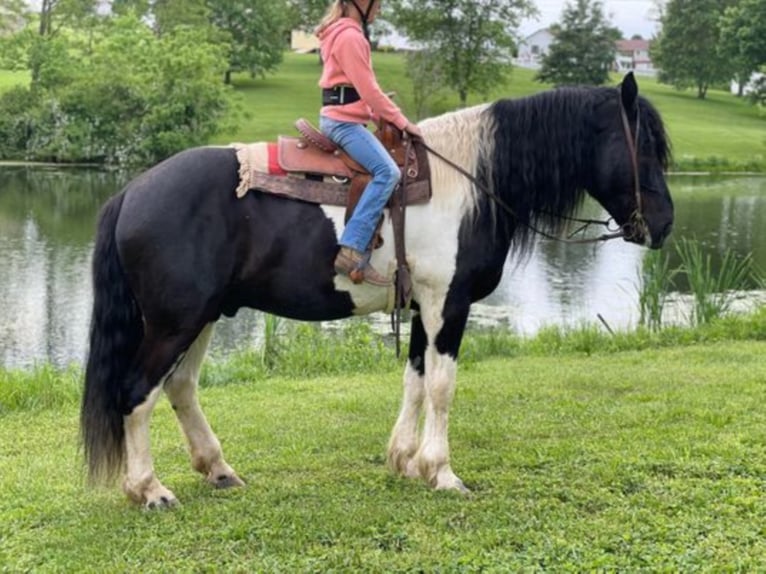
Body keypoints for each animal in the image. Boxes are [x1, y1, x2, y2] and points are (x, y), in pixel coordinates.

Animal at [81, 74, 676, 510]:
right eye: (644, 145)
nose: (664, 224)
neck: (471, 183)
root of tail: (132, 190)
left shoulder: (421, 308)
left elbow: (415, 381)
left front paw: (405, 461)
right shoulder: (448, 305)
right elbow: (442, 386)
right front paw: (443, 472)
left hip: (201, 316)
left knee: (180, 387)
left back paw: (218, 470)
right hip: (173, 322)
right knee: (137, 391)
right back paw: (150, 490)